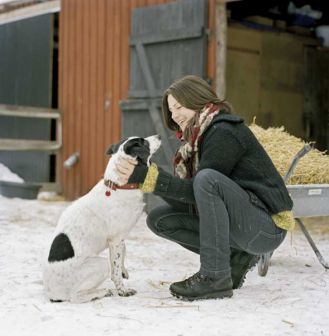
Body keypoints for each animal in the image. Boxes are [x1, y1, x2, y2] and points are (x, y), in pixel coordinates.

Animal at [42, 135, 161, 304]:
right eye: (144, 142)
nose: (159, 136)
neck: (119, 186)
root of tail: (52, 293)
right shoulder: (116, 239)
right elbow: (115, 270)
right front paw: (122, 290)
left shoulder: (119, 238)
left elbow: (122, 254)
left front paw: (123, 270)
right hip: (99, 265)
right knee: (75, 297)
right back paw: (103, 292)